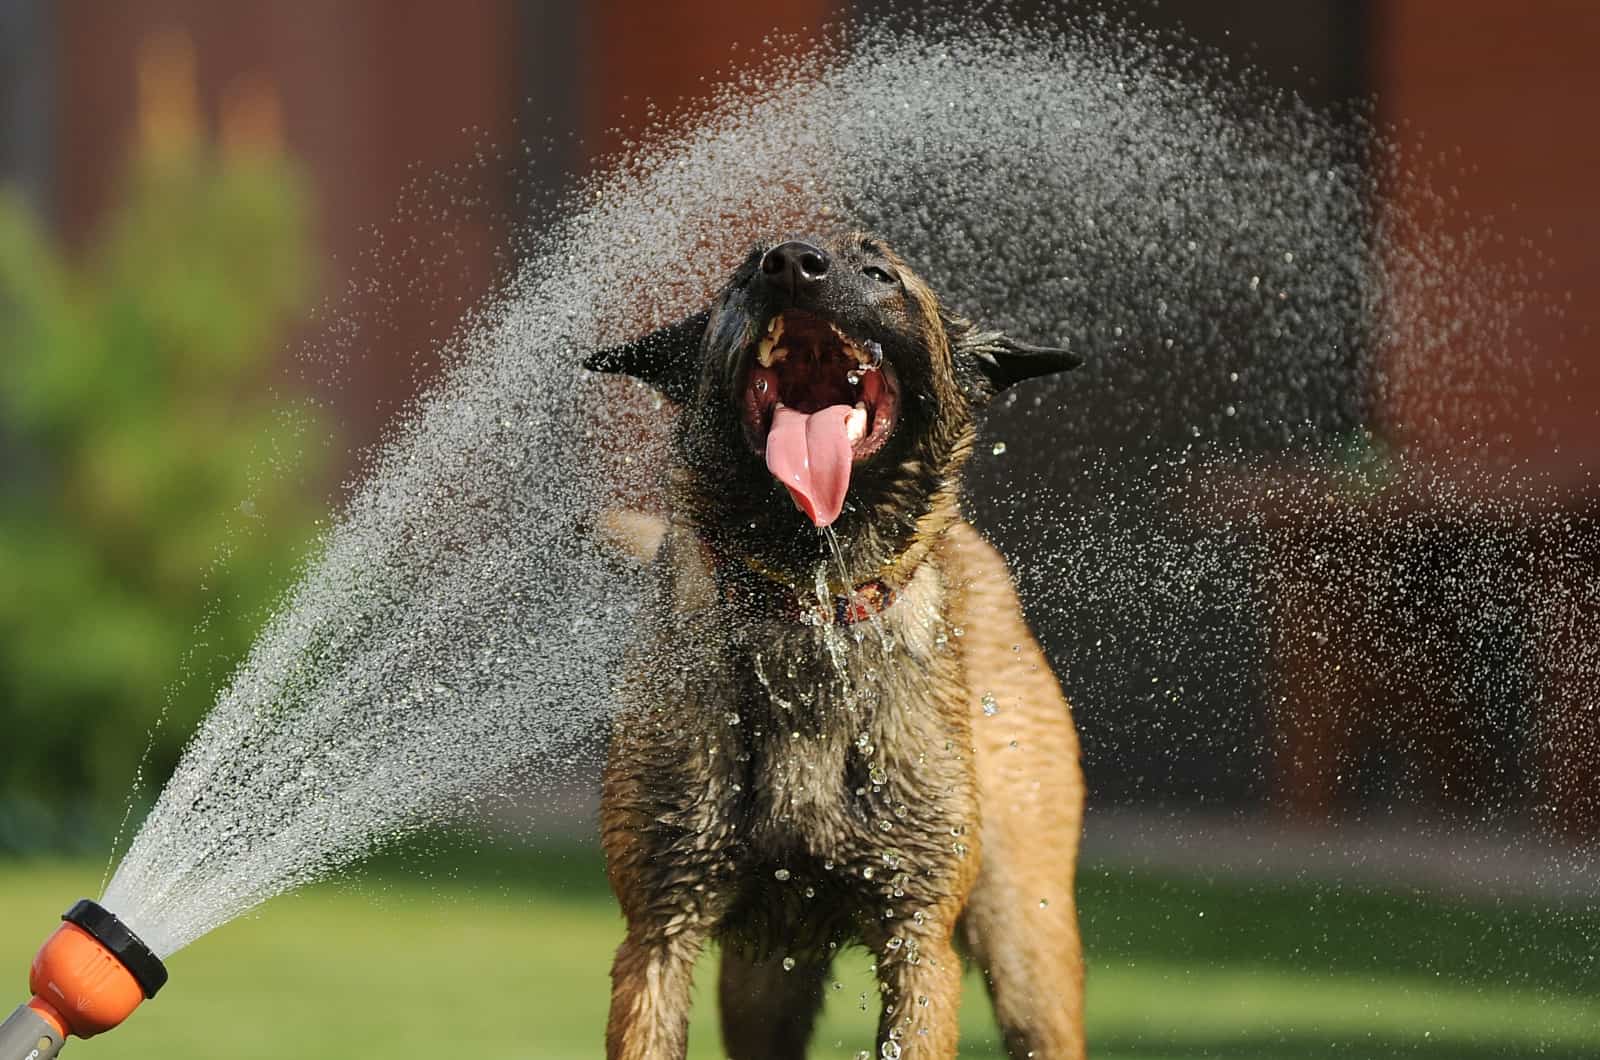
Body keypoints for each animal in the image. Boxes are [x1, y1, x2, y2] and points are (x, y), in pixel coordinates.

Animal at [585, 235, 1088, 1060]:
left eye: (880, 272)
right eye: (742, 274)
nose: (791, 262)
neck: (808, 605)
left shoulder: (918, 939)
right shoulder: (660, 930)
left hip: (1027, 947)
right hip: (760, 985)